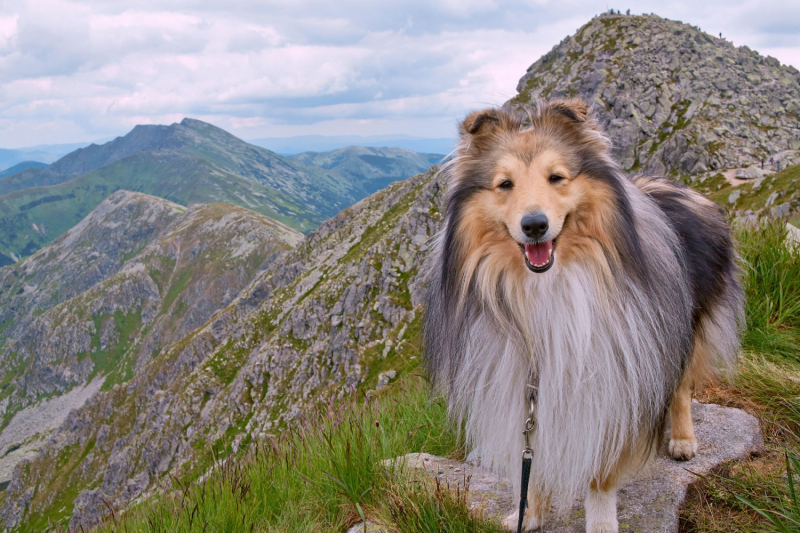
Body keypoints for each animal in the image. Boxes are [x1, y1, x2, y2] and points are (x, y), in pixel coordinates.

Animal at [424, 97, 744, 528]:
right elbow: (533, 456)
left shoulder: (612, 379)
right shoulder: (522, 382)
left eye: (557, 177)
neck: (545, 288)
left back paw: (682, 438)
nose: (535, 225)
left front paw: (602, 523)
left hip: (682, 327)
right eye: (505, 184)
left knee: (680, 386)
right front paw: (529, 514)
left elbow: (601, 473)